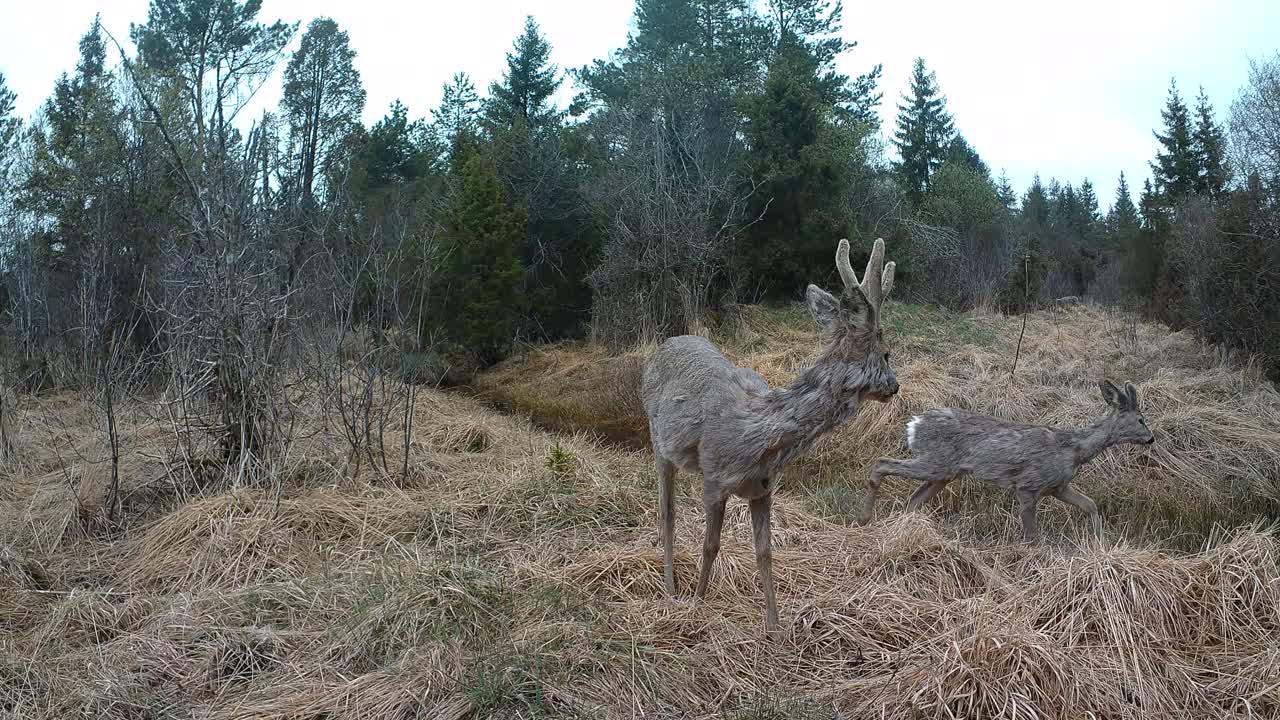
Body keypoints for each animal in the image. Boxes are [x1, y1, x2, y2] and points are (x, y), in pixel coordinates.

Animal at [643, 238, 898, 637]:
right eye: (886, 353)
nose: (894, 386)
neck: (759, 438)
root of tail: (667, 342)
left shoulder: (763, 488)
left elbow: (765, 551)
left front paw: (775, 628)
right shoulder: (714, 476)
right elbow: (710, 544)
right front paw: (698, 604)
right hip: (659, 443)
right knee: (667, 511)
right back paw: (670, 588)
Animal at [862, 380, 1155, 542]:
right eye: (1141, 419)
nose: (1151, 439)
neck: (1073, 450)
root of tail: (914, 424)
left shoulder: (1057, 486)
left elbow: (1091, 505)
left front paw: (1099, 541)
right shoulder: (1028, 484)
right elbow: (1030, 534)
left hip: (944, 472)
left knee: (912, 500)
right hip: (935, 462)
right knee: (881, 463)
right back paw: (865, 517)